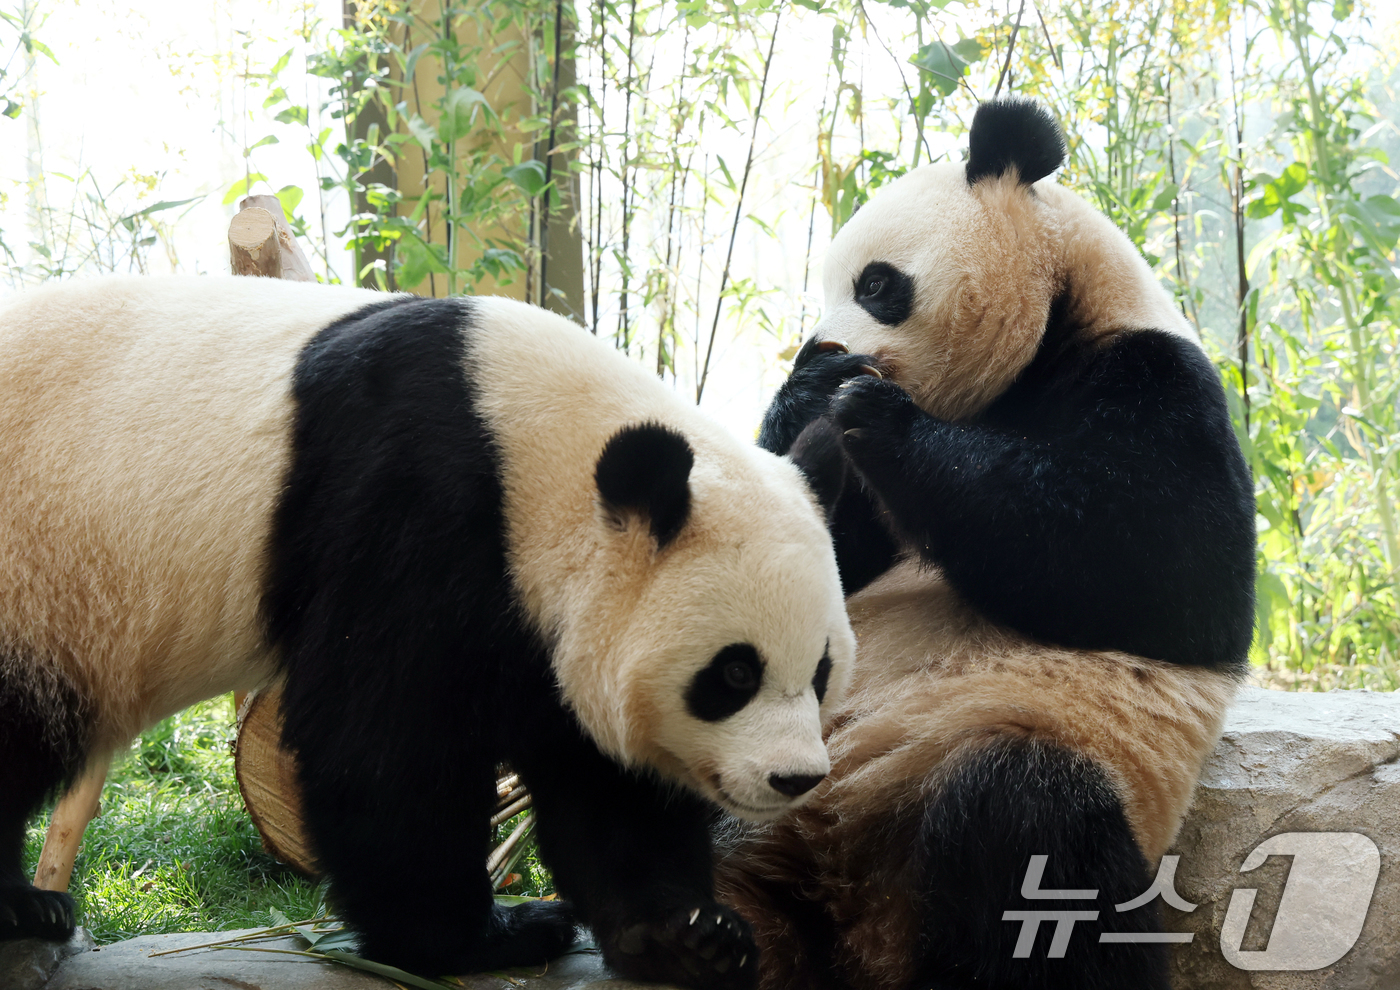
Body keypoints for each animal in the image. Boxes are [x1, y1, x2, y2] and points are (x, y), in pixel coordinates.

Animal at [0, 275, 857, 990]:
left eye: (820, 671)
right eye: (734, 673)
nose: (794, 779)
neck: (534, 449)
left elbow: (601, 776)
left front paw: (688, 937)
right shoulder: (414, 505)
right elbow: (384, 744)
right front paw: (483, 937)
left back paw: (29, 907)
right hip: (39, 579)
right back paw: (25, 908)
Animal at [713, 98, 1255, 990]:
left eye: (876, 284)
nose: (824, 348)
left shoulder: (1160, 382)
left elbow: (1162, 565)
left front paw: (876, 414)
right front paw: (810, 394)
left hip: (1013, 758)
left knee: (1028, 831)